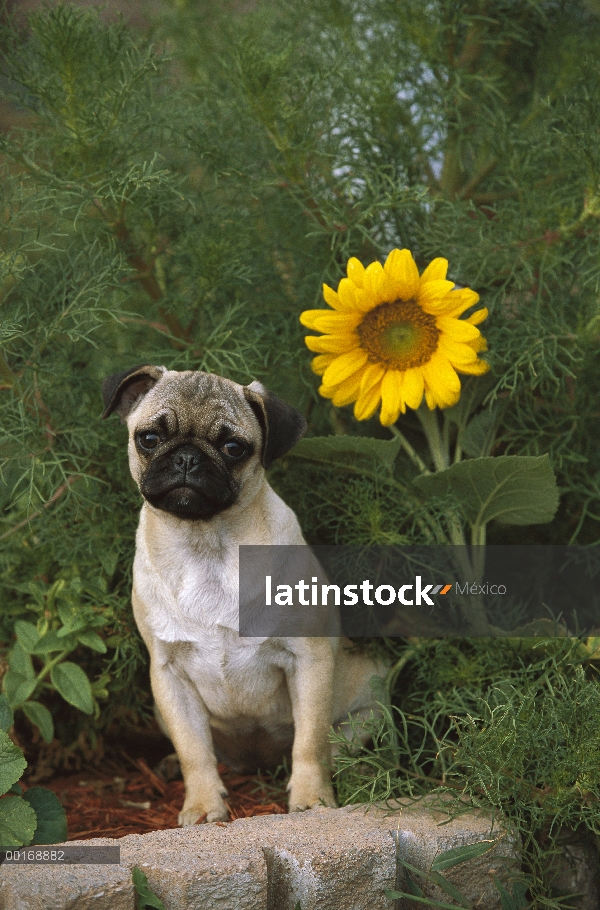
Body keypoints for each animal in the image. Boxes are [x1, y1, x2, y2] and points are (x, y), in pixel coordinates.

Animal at [101, 366, 386, 828]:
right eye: (150, 438)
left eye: (233, 448)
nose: (187, 458)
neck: (206, 545)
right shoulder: (168, 675)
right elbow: (194, 750)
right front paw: (202, 805)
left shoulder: (308, 660)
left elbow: (309, 742)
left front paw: (311, 799)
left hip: (371, 705)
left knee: (335, 746)